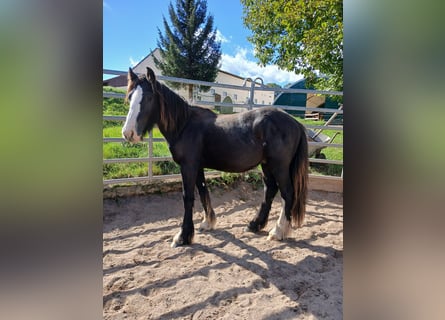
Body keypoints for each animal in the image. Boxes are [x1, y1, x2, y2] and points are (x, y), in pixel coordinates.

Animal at [122, 67, 308, 248]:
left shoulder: (188, 166)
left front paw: (183, 236)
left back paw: (278, 231)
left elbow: (188, 197)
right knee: (270, 190)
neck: (185, 125)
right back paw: (255, 225)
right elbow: (203, 191)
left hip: (279, 166)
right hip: (266, 165)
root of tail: (295, 123)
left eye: (149, 98)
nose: (128, 133)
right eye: (130, 97)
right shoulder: (197, 166)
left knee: (287, 193)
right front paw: (207, 223)